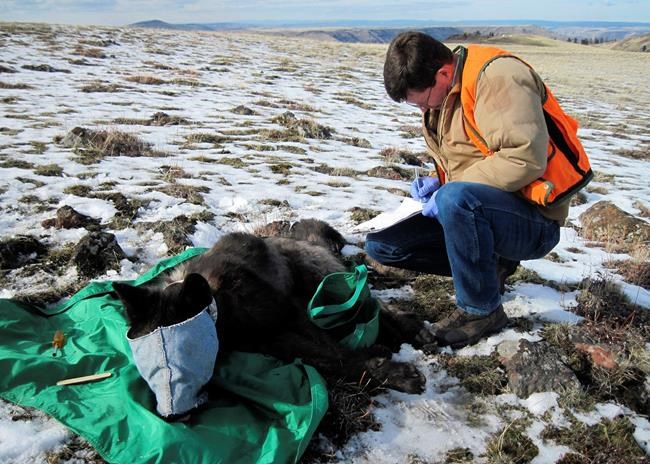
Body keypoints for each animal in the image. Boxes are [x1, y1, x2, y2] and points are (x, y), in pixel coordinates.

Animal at [113, 220, 430, 396]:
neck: (220, 303)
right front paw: (379, 362)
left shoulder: (292, 313)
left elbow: (336, 353)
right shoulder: (274, 341)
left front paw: (388, 370)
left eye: (186, 351)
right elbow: (330, 359)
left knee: (372, 301)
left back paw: (411, 327)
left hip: (318, 275)